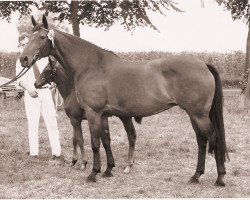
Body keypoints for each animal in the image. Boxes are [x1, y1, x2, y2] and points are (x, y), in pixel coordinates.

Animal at [20, 15, 229, 186]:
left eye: (41, 37)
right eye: (28, 37)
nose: (24, 59)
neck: (91, 66)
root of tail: (204, 64)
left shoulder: (93, 112)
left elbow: (94, 142)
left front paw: (93, 173)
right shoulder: (103, 114)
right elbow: (105, 140)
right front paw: (107, 170)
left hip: (199, 115)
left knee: (214, 138)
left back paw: (219, 178)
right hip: (194, 115)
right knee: (201, 141)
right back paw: (196, 176)